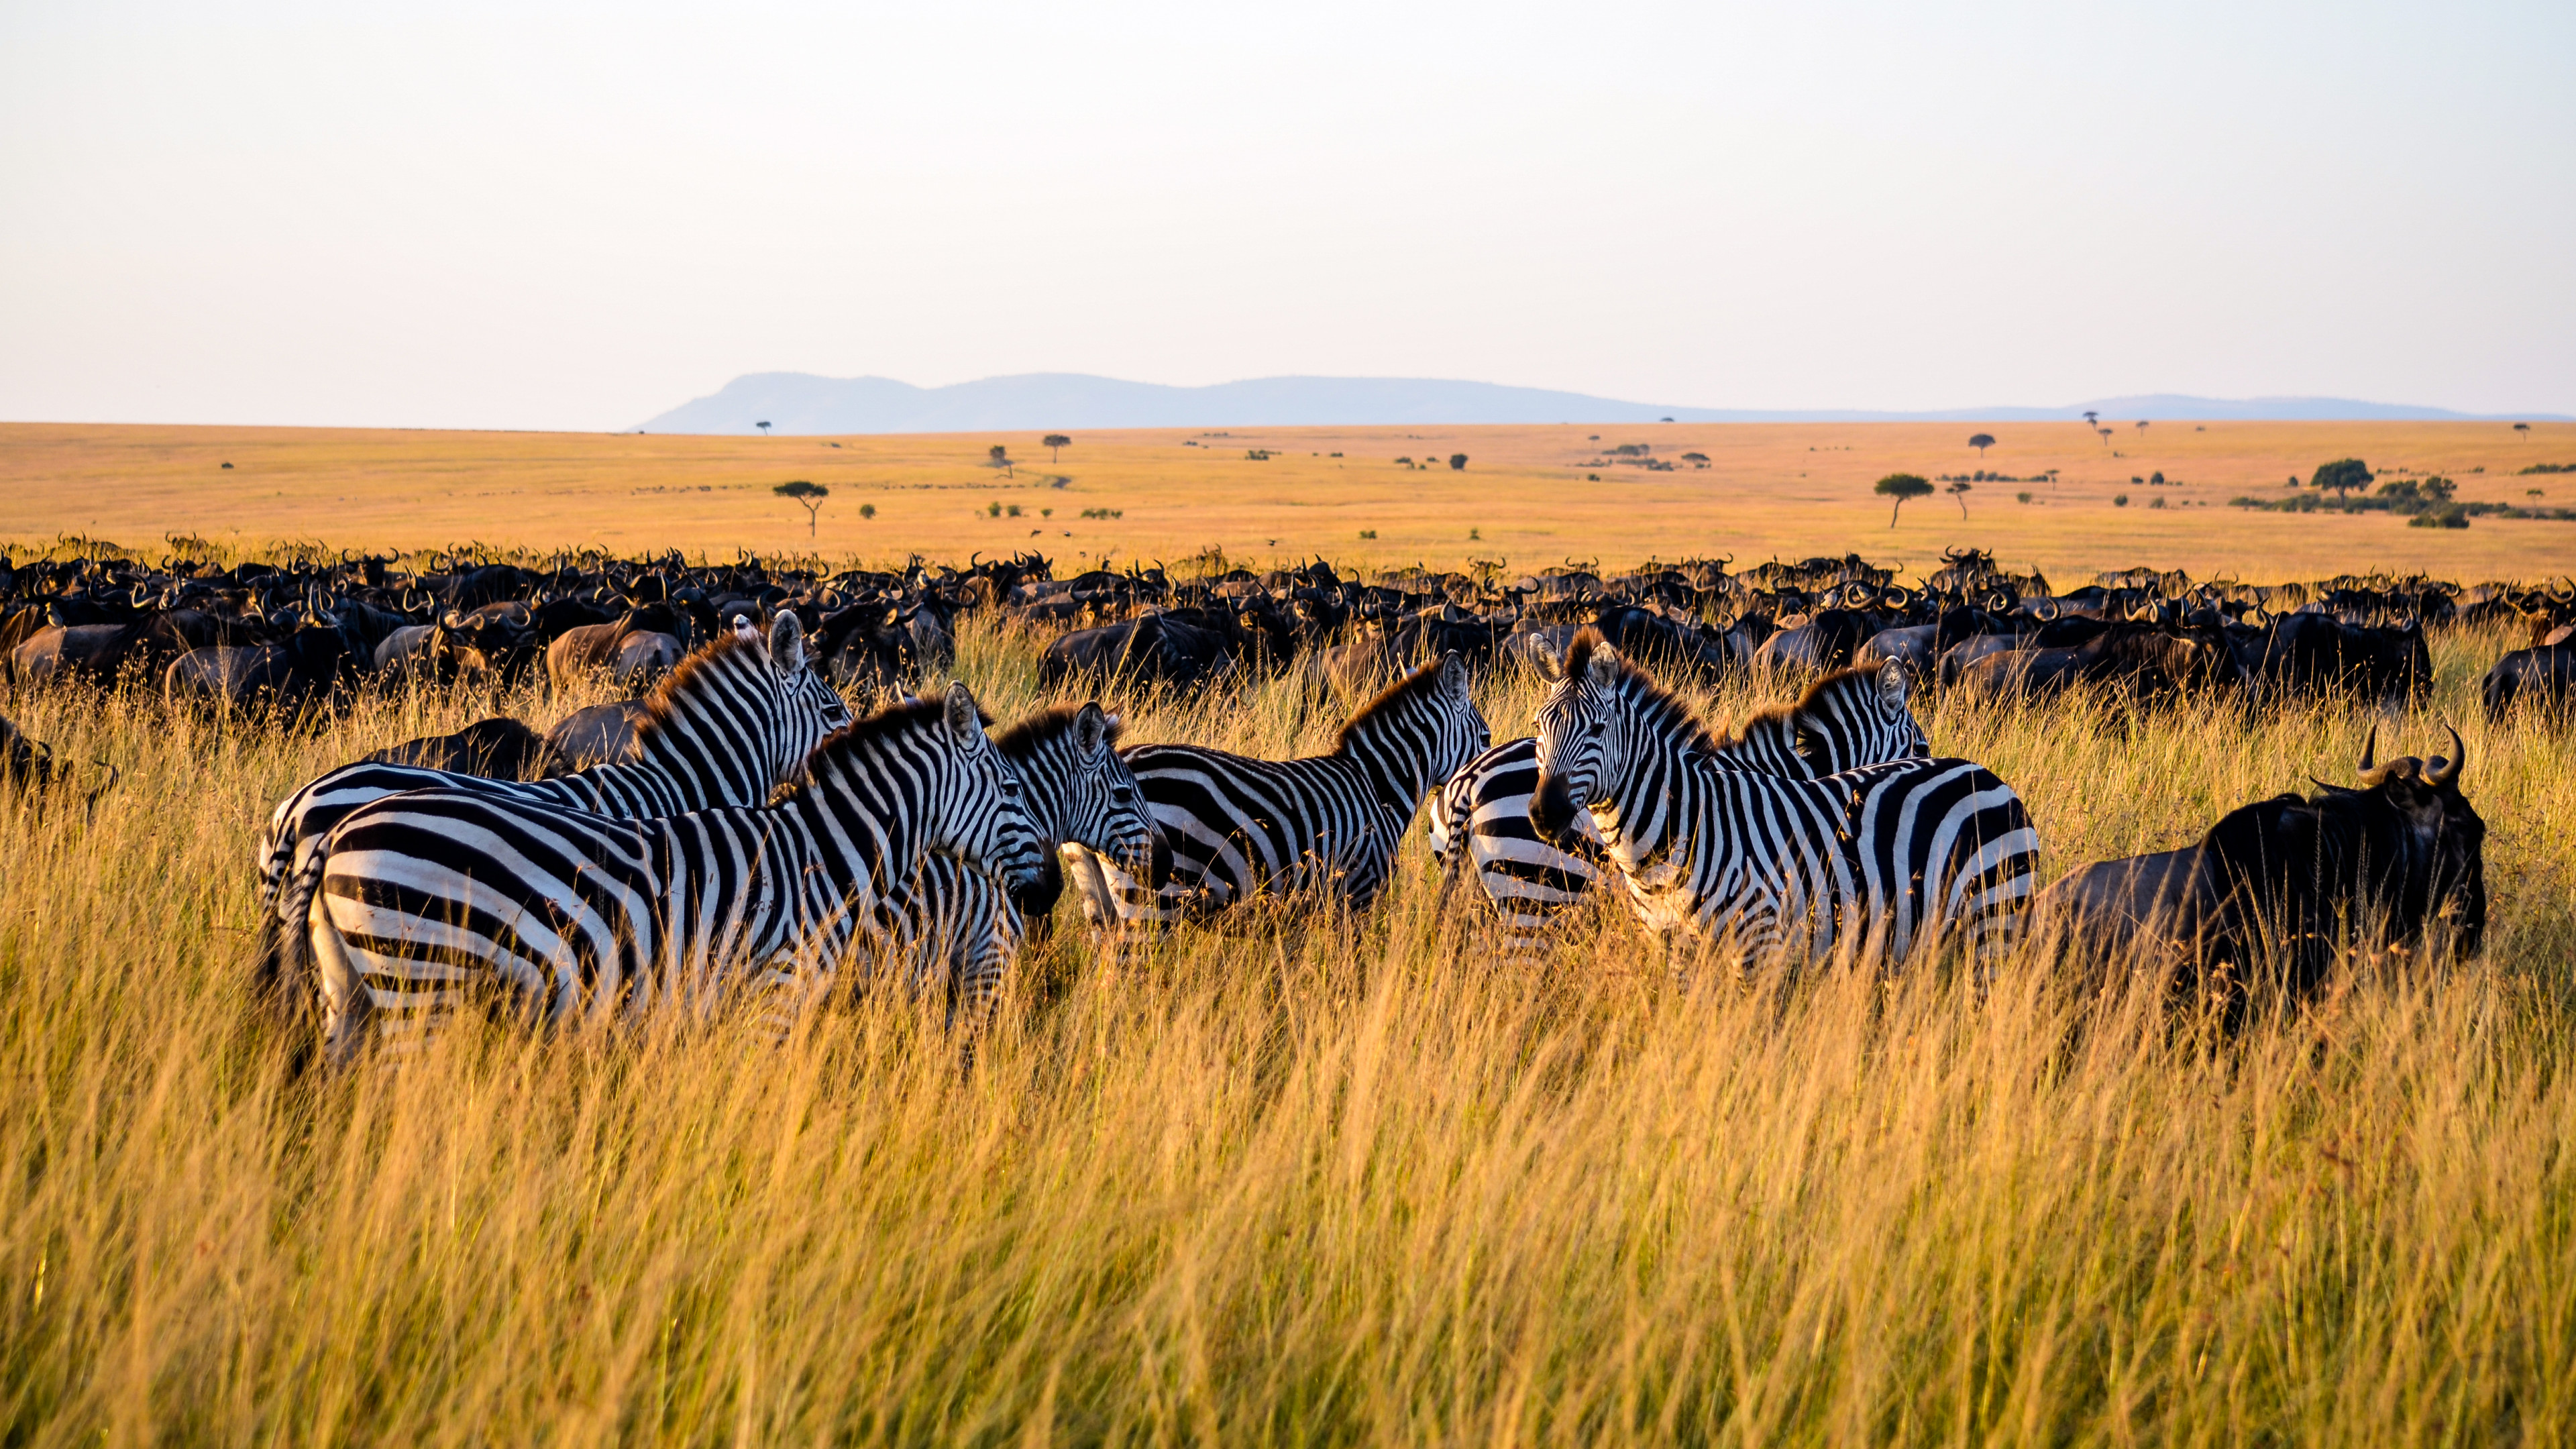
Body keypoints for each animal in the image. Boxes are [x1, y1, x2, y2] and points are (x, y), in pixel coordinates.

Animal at [288, 684, 1044, 1066]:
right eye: (1011, 789)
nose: (1050, 894)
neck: (823, 857)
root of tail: (332, 831)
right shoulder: (775, 994)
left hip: (349, 988)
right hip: (420, 982)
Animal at [1528, 630, 2037, 967]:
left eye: (1597, 729)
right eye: (1539, 725)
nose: (1544, 813)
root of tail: (1990, 775)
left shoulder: (1762, 945)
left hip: (1992, 921)